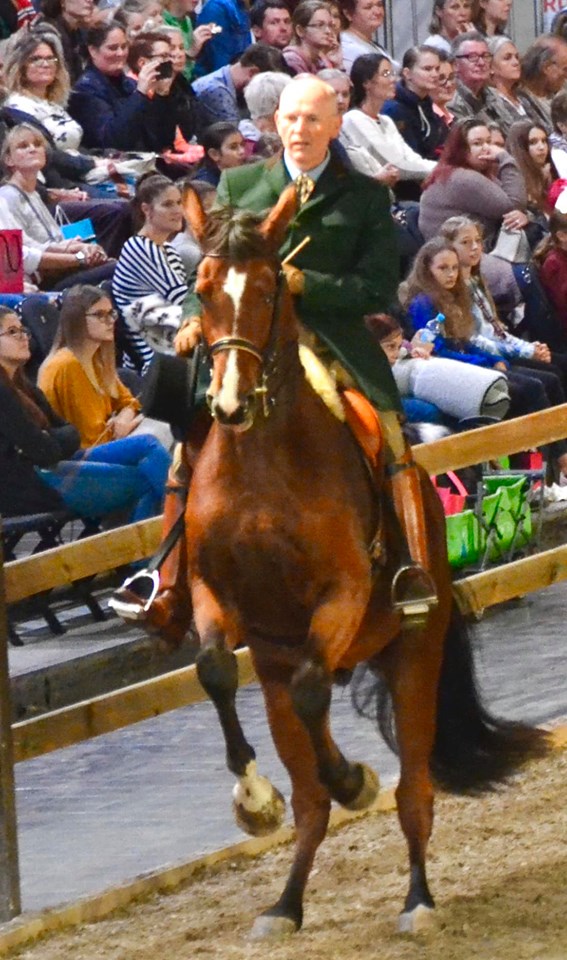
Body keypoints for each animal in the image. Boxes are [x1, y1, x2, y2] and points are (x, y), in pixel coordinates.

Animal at [182, 186, 544, 936]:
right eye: (202, 290)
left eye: (269, 288)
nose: (228, 404)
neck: (259, 466)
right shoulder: (213, 593)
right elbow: (213, 671)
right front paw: (252, 798)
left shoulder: (342, 592)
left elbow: (314, 692)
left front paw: (353, 778)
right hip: (277, 669)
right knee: (310, 801)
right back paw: (284, 905)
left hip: (412, 659)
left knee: (412, 791)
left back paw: (416, 899)